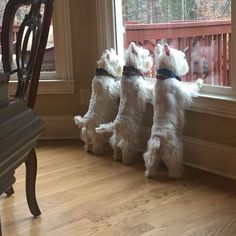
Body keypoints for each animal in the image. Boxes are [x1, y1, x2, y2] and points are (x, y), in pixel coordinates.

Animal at [143, 43, 204, 179]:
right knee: (174, 164)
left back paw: (149, 173)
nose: (187, 65)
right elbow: (191, 89)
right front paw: (199, 81)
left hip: (151, 151)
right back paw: (177, 173)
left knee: (150, 162)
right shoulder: (182, 92)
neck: (164, 77)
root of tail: (158, 139)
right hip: (174, 149)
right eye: (182, 57)